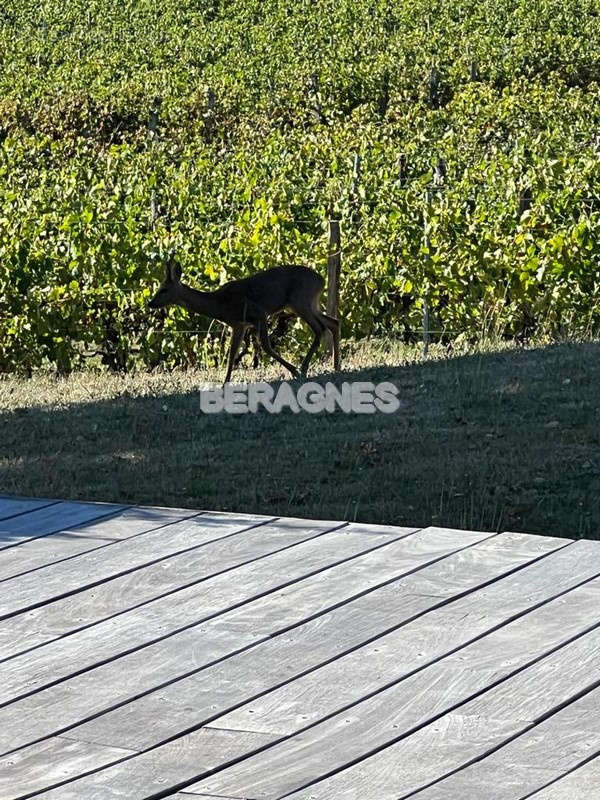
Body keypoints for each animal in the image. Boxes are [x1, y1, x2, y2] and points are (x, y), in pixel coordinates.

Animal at [148, 256, 340, 382]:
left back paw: (305, 368)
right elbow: (231, 354)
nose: (150, 303)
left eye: (164, 290)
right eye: (159, 287)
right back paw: (335, 366)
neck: (220, 304)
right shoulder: (238, 325)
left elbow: (266, 347)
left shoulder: (258, 313)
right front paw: (225, 382)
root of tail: (321, 280)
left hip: (300, 301)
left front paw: (294, 371)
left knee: (320, 328)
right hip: (308, 303)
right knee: (333, 323)